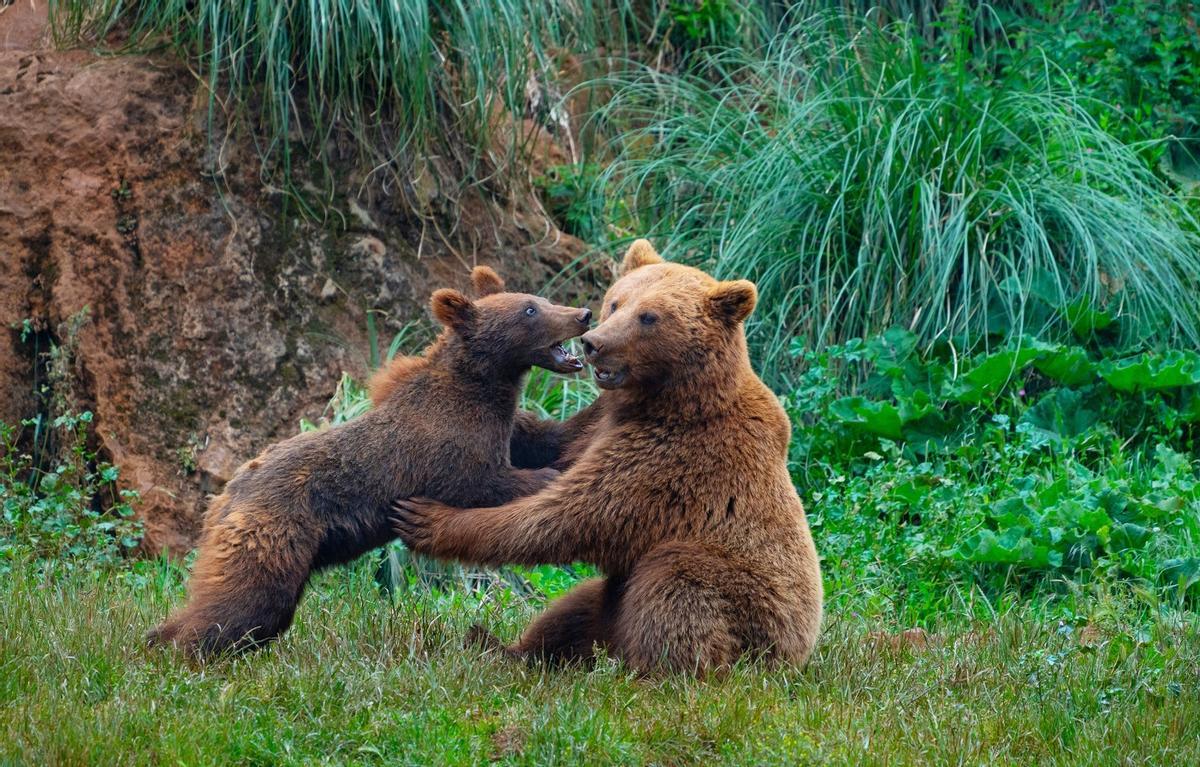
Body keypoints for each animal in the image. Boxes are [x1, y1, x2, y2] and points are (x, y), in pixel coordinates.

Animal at [148, 266, 592, 659]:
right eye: (530, 310)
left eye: (540, 300)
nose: (582, 314)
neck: (484, 388)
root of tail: (225, 496)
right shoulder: (448, 445)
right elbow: (484, 482)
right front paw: (551, 476)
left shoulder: (508, 426)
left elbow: (546, 437)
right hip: (276, 529)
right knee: (249, 602)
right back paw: (189, 650)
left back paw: (160, 636)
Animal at [390, 240, 824, 674]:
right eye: (615, 302)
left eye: (649, 316)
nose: (594, 342)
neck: (671, 400)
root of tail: (797, 656)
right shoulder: (602, 425)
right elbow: (556, 445)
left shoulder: (672, 458)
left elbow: (567, 514)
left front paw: (427, 519)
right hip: (610, 606)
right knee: (575, 610)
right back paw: (502, 646)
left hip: (748, 607)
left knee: (673, 586)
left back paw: (653, 672)